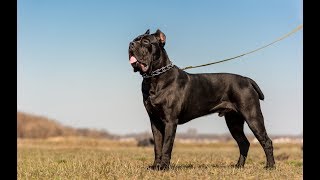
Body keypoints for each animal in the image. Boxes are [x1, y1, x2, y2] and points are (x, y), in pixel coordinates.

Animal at [127, 29, 276, 170]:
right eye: (135, 39)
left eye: (146, 41)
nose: (131, 44)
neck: (154, 78)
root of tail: (247, 80)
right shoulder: (155, 121)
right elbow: (157, 146)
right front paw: (155, 166)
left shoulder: (170, 121)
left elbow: (166, 146)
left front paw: (163, 167)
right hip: (234, 121)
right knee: (244, 143)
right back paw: (239, 166)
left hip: (252, 116)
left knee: (266, 141)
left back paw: (270, 166)